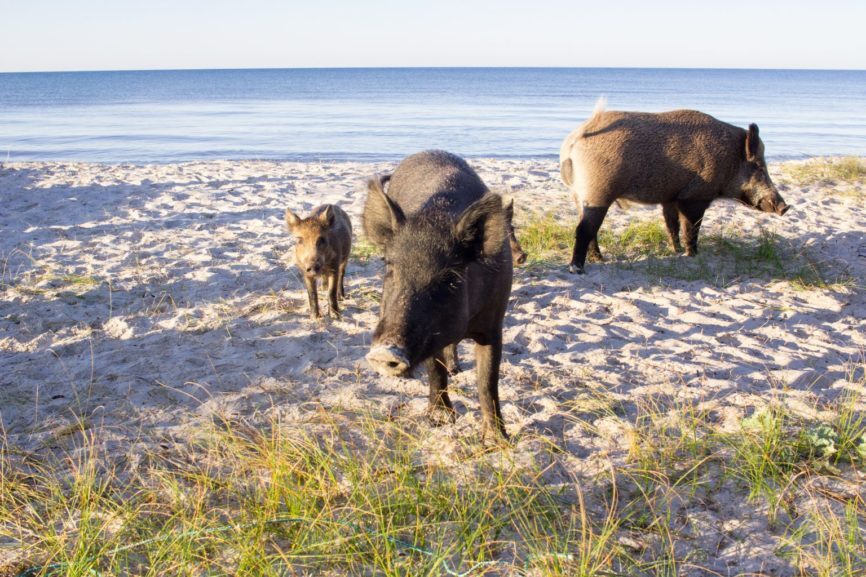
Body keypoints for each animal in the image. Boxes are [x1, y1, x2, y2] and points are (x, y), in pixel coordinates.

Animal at [363, 150, 513, 440]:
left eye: (450, 278)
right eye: (390, 268)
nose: (386, 352)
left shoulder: (493, 322)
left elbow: (487, 381)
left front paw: (498, 440)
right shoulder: (431, 333)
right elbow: (435, 369)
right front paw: (440, 420)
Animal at [559, 103, 790, 274]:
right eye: (758, 166)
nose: (785, 207)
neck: (729, 160)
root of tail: (574, 139)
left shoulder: (670, 198)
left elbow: (672, 225)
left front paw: (676, 251)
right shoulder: (694, 198)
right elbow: (691, 228)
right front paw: (693, 255)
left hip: (580, 195)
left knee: (590, 230)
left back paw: (599, 259)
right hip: (597, 193)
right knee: (584, 229)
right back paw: (577, 269)